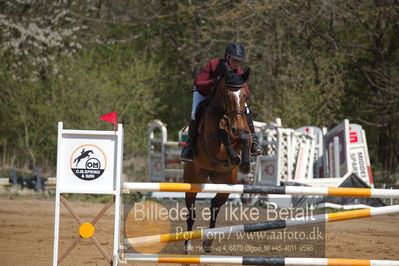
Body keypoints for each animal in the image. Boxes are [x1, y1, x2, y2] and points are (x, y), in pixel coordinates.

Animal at [184, 65, 252, 252]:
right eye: (227, 95)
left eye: (245, 95)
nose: (236, 128)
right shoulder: (212, 142)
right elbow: (222, 134)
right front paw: (235, 158)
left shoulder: (244, 133)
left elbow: (245, 137)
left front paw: (244, 164)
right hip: (193, 179)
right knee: (191, 211)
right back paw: (187, 244)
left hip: (226, 183)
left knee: (215, 205)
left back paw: (208, 242)